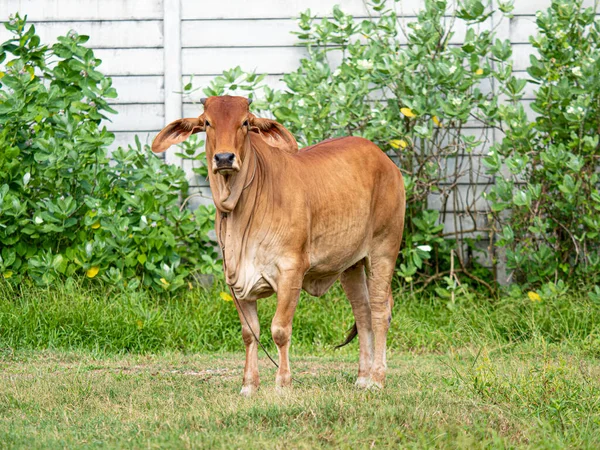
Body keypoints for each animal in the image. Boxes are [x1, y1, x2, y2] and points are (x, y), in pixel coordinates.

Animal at [152, 95, 406, 394]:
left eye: (245, 123)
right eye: (207, 123)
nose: (224, 158)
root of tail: (385, 160)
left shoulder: (290, 273)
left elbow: (280, 330)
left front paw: (283, 383)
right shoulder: (235, 280)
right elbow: (250, 333)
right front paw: (249, 385)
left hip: (383, 250)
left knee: (379, 311)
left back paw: (377, 378)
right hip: (351, 266)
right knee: (363, 313)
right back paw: (362, 378)